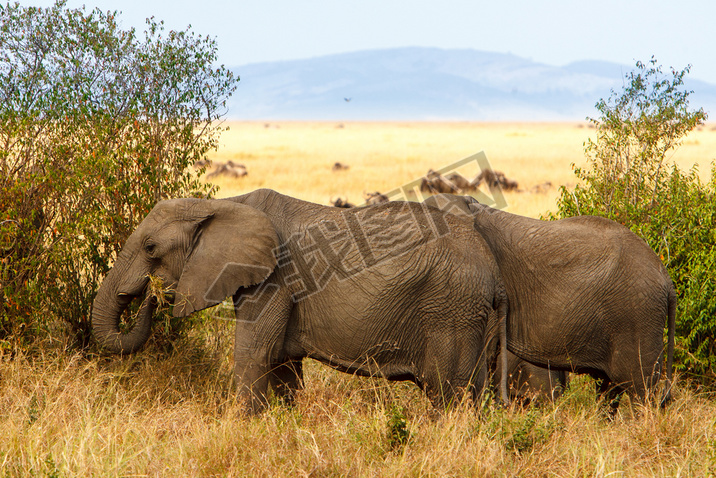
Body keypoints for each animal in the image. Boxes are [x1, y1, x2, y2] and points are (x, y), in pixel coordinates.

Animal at [93, 189, 510, 412]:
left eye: (151, 248)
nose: (153, 294)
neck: (220, 204)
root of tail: (494, 273)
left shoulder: (276, 279)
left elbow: (254, 354)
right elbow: (282, 366)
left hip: (451, 307)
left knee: (448, 394)